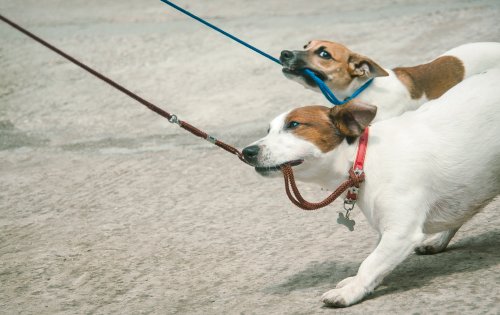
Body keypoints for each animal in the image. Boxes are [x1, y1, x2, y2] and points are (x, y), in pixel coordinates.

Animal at [244, 68, 500, 308]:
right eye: (268, 130)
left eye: (294, 124)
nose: (247, 152)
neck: (362, 159)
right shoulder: (387, 229)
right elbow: (376, 262)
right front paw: (359, 284)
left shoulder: (400, 231)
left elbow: (370, 263)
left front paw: (350, 291)